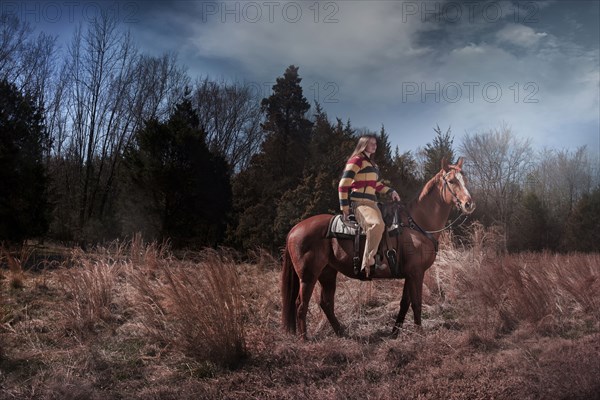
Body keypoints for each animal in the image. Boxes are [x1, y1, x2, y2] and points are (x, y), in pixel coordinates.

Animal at [280, 158, 474, 340]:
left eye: (464, 179)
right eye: (451, 181)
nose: (469, 204)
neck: (416, 223)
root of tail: (294, 229)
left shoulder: (409, 274)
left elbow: (405, 303)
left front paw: (394, 332)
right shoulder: (417, 273)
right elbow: (416, 303)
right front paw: (419, 334)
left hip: (327, 273)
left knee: (326, 303)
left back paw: (341, 332)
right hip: (308, 276)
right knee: (300, 304)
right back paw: (304, 338)